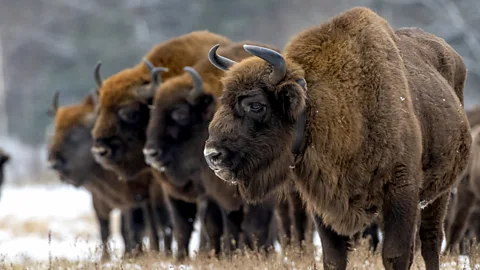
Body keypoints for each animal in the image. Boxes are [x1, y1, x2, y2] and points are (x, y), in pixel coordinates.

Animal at [46, 91, 172, 260]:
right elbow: (105, 229)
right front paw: (106, 258)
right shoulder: (99, 200)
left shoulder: (131, 199)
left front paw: (131, 254)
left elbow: (129, 229)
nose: (54, 162)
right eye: (56, 130)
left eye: (76, 132)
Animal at [202, 6, 468, 270]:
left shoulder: (401, 190)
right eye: (223, 100)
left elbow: (396, 255)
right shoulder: (324, 201)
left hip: (439, 194)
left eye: (256, 105)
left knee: (431, 239)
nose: (212, 155)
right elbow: (333, 257)